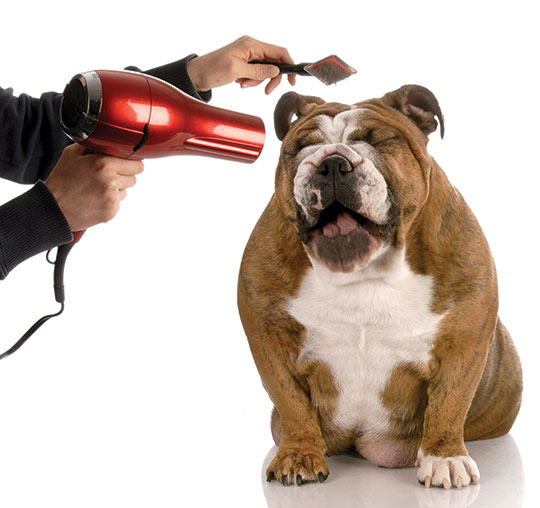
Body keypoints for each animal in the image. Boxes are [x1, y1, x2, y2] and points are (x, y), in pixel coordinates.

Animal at [237, 86, 524, 488]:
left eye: (379, 140)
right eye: (302, 147)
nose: (331, 163)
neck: (363, 271)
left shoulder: (464, 338)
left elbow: (450, 401)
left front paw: (445, 457)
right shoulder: (267, 335)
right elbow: (291, 400)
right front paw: (298, 455)